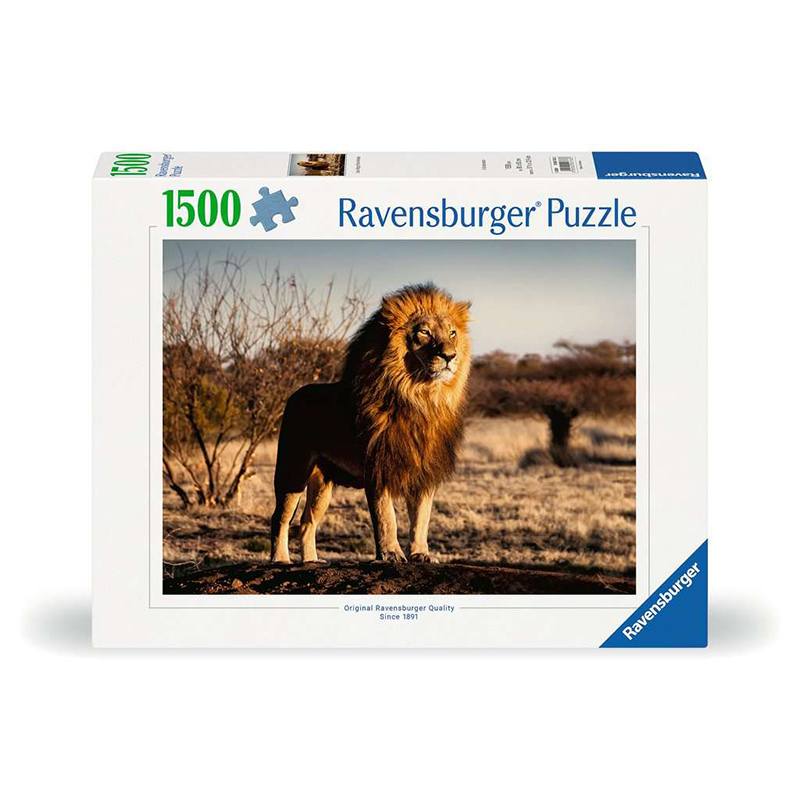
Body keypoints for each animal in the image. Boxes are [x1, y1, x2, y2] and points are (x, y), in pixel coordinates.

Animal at [269, 283, 472, 564]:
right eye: (424, 332)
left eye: (452, 333)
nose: (450, 356)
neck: (420, 398)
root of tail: (295, 394)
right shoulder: (377, 467)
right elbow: (387, 517)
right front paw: (391, 554)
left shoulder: (424, 470)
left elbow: (421, 519)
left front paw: (421, 553)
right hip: (293, 470)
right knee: (280, 518)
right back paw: (280, 559)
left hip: (322, 483)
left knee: (307, 522)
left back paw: (311, 561)